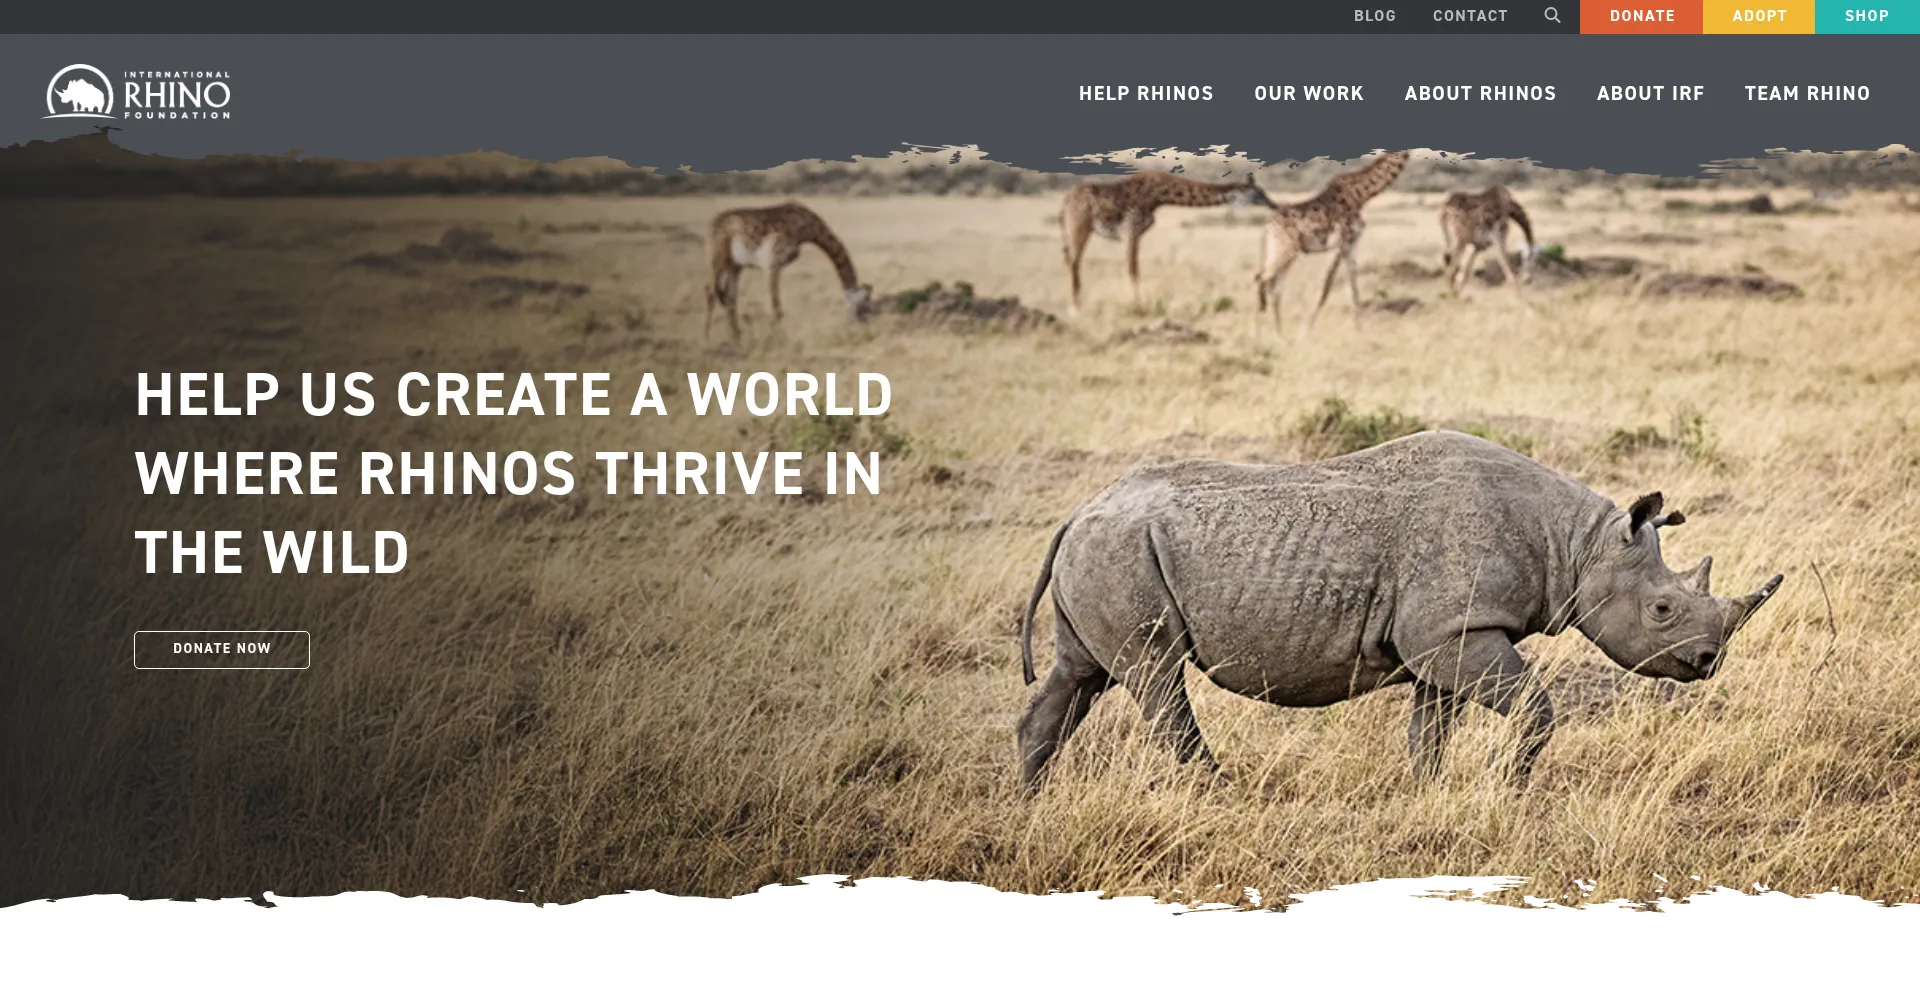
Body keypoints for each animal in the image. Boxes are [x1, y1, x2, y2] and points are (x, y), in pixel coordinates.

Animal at [1016, 430, 1782, 792]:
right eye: (1662, 609)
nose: (1708, 660)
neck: (1579, 543)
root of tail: (1078, 511)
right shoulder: (1451, 631)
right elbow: (1537, 709)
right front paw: (1510, 790)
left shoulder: (1445, 635)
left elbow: (1428, 733)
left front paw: (1427, 798)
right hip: (1121, 553)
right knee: (1156, 676)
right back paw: (1223, 796)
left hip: (1104, 552)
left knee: (1079, 675)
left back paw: (1028, 802)